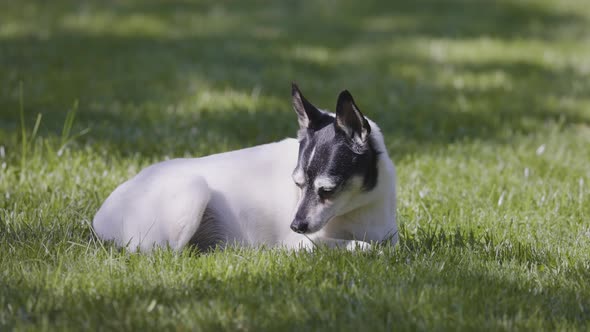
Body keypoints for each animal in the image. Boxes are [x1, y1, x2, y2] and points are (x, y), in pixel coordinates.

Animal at [92, 83, 398, 252]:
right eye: (297, 184)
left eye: (328, 190)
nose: (295, 225)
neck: (357, 209)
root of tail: (99, 217)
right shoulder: (302, 244)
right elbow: (362, 247)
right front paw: (363, 247)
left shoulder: (389, 237)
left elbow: (385, 245)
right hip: (192, 191)